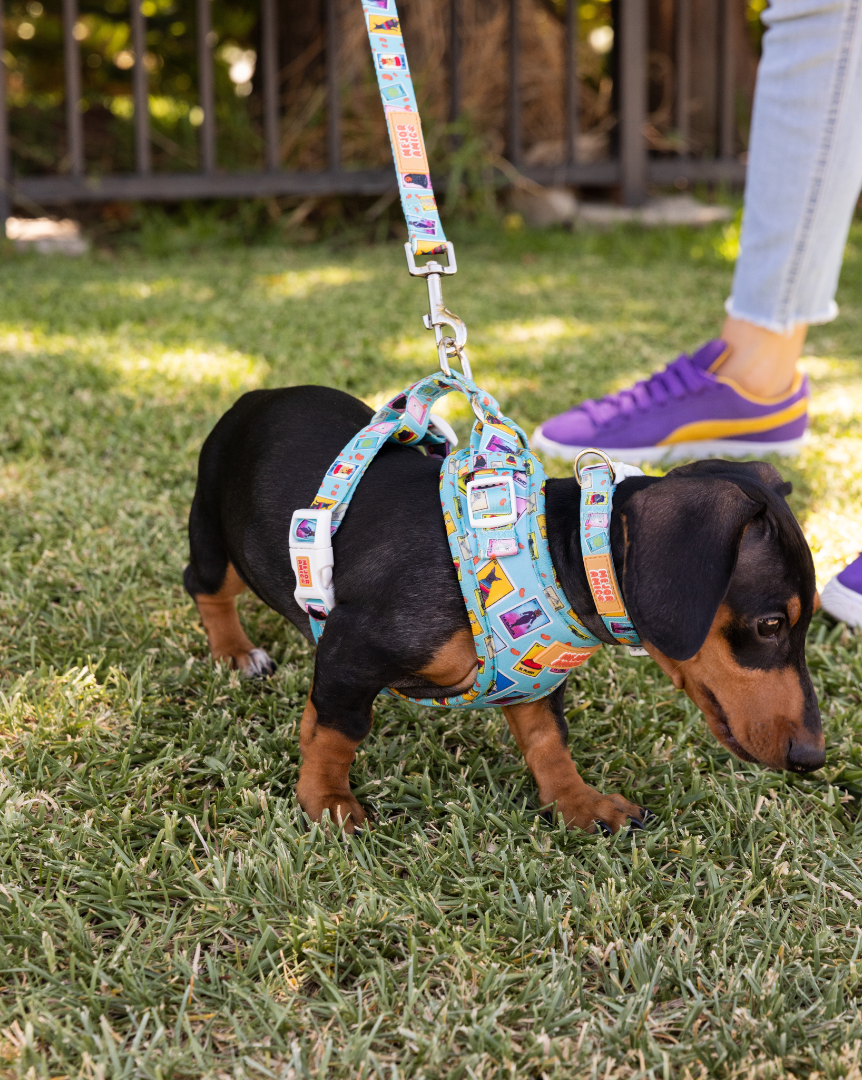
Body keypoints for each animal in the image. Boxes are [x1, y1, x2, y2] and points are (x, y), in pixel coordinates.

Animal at [182, 388, 825, 833]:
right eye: (771, 625)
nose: (813, 759)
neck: (549, 552)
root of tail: (255, 396)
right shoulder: (351, 651)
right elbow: (335, 732)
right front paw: (328, 803)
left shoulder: (534, 677)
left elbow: (548, 742)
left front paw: (580, 804)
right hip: (217, 534)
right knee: (206, 585)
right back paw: (235, 652)